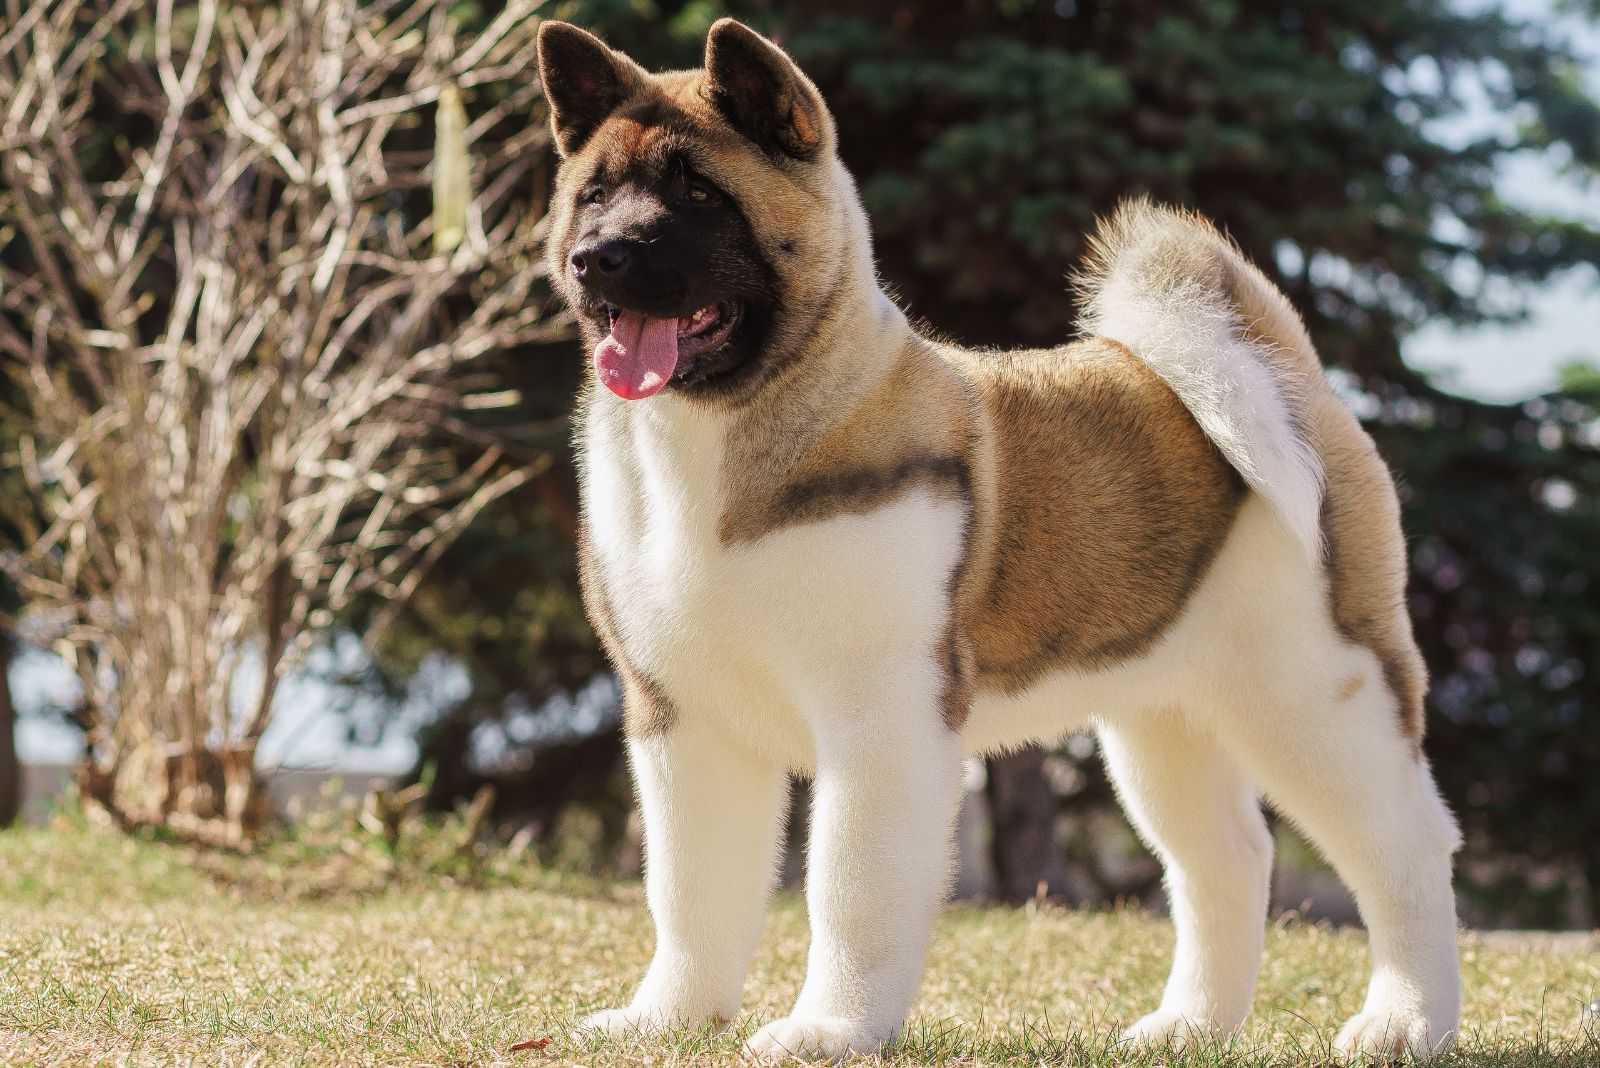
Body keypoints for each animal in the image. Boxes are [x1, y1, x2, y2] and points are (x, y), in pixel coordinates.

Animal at [534, 16, 1465, 1061]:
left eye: (699, 194)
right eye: (594, 195)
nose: (599, 257)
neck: (726, 431)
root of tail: (1286, 372)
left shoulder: (881, 719)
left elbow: (848, 889)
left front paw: (829, 1030)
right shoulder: (683, 719)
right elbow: (691, 888)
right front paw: (667, 1019)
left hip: (1317, 690)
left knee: (1403, 845)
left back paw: (1405, 1023)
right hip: (1163, 718)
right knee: (1228, 855)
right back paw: (1188, 1027)